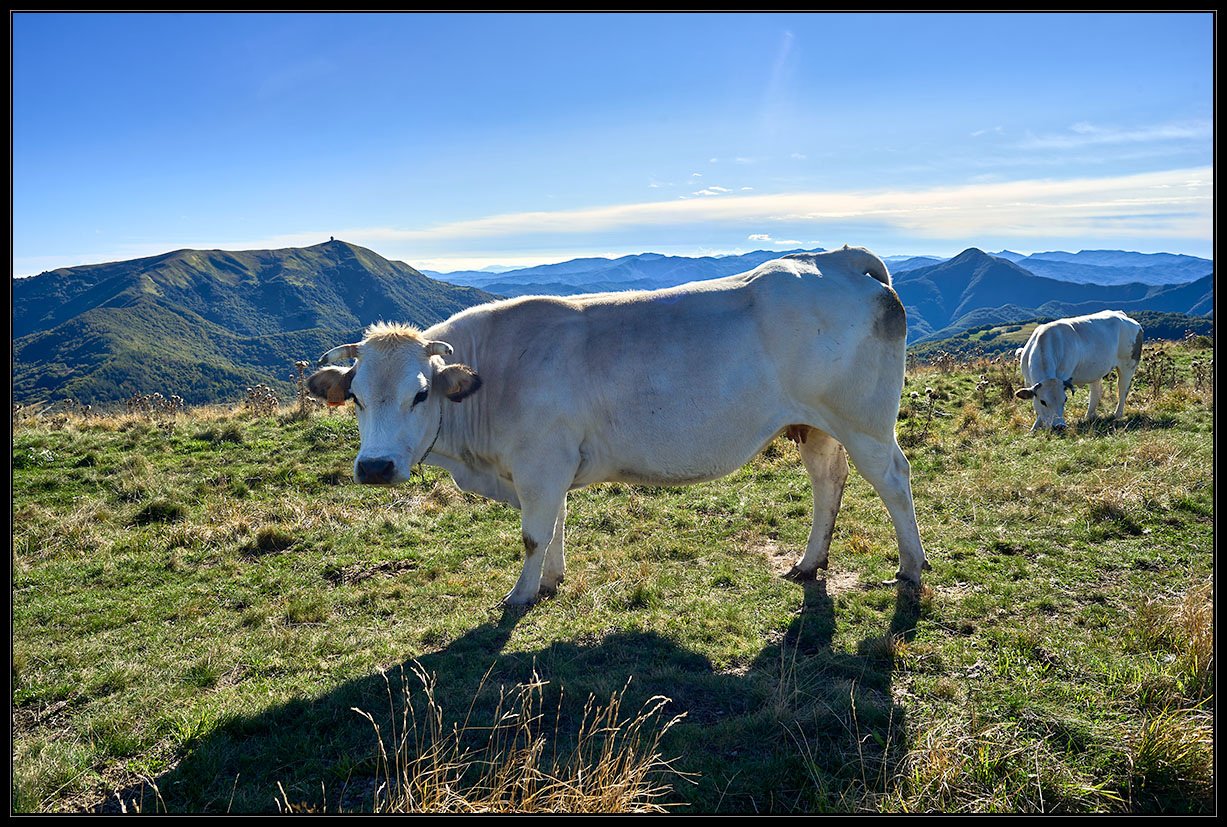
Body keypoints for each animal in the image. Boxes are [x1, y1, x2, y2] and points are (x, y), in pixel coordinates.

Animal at [311, 242, 922, 598]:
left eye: (419, 394)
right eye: (356, 397)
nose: (374, 467)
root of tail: (836, 257)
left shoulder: (540, 463)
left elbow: (533, 535)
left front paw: (520, 595)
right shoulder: (548, 470)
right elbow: (554, 526)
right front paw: (551, 580)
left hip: (864, 422)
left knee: (894, 480)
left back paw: (911, 567)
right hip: (815, 423)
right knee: (827, 482)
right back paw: (808, 563)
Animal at [1011, 305, 1143, 429]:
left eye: (1065, 400)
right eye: (1043, 402)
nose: (1059, 426)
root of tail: (1122, 315)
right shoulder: (1028, 381)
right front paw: (1034, 428)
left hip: (1128, 364)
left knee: (1122, 389)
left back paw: (1117, 414)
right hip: (1095, 370)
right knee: (1096, 391)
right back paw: (1089, 416)